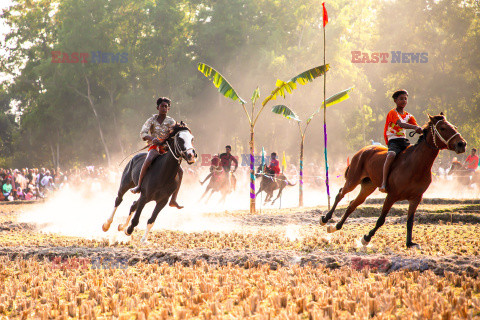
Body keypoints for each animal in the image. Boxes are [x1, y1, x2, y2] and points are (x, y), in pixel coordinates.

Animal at [320, 114, 466, 249]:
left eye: (454, 127)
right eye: (442, 128)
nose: (462, 144)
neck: (416, 165)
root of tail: (363, 150)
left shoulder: (416, 198)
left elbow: (410, 221)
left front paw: (409, 243)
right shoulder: (392, 195)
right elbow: (381, 219)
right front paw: (366, 238)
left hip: (368, 186)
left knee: (352, 204)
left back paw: (335, 227)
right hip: (353, 179)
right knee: (340, 194)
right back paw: (325, 218)